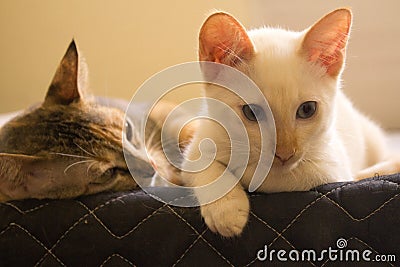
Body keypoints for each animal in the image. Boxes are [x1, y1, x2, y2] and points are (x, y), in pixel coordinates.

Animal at [182, 8, 394, 238]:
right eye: (251, 112)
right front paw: (226, 210)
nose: (284, 154)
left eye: (307, 109)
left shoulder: (331, 169)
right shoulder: (202, 136)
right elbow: (199, 164)